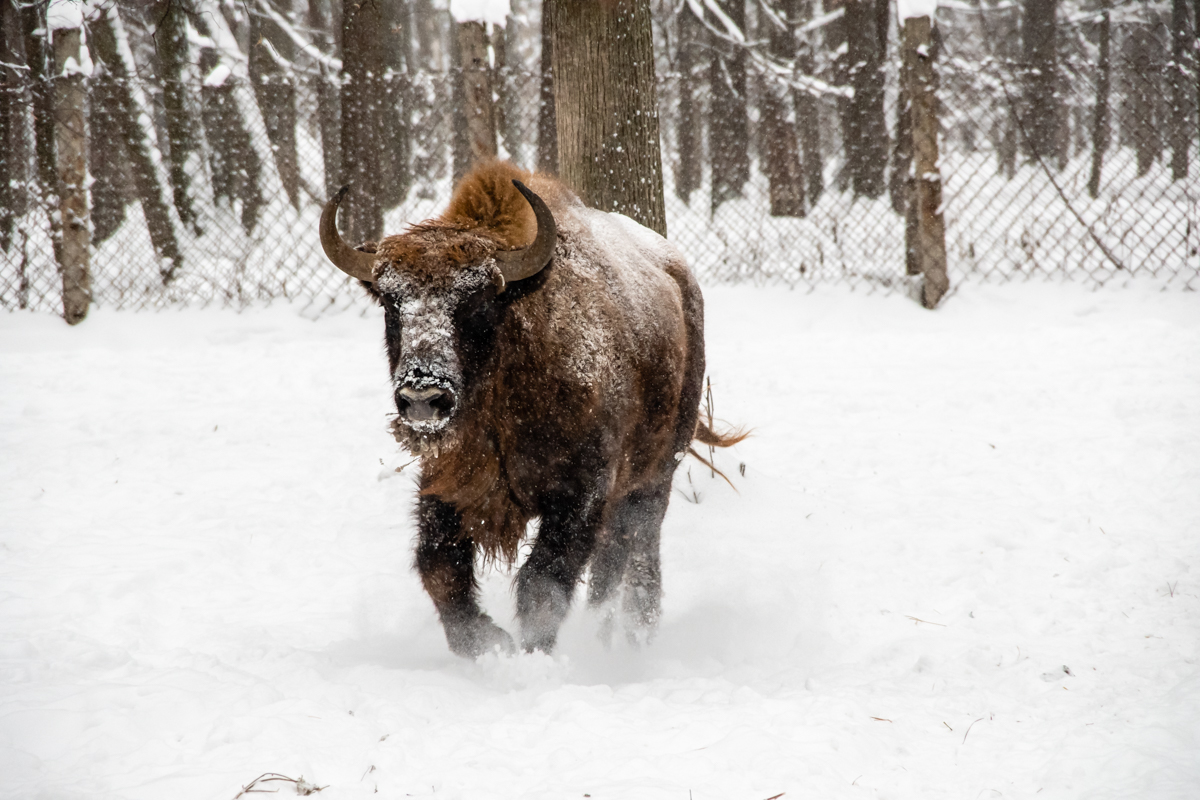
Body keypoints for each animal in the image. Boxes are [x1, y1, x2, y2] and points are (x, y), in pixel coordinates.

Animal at [324, 163, 739, 657]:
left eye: (479, 301)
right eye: (391, 303)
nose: (423, 396)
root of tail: (679, 275)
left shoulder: (582, 494)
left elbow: (543, 583)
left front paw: (528, 652)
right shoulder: (445, 484)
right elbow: (438, 564)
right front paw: (488, 643)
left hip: (656, 473)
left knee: (633, 550)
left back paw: (631, 634)